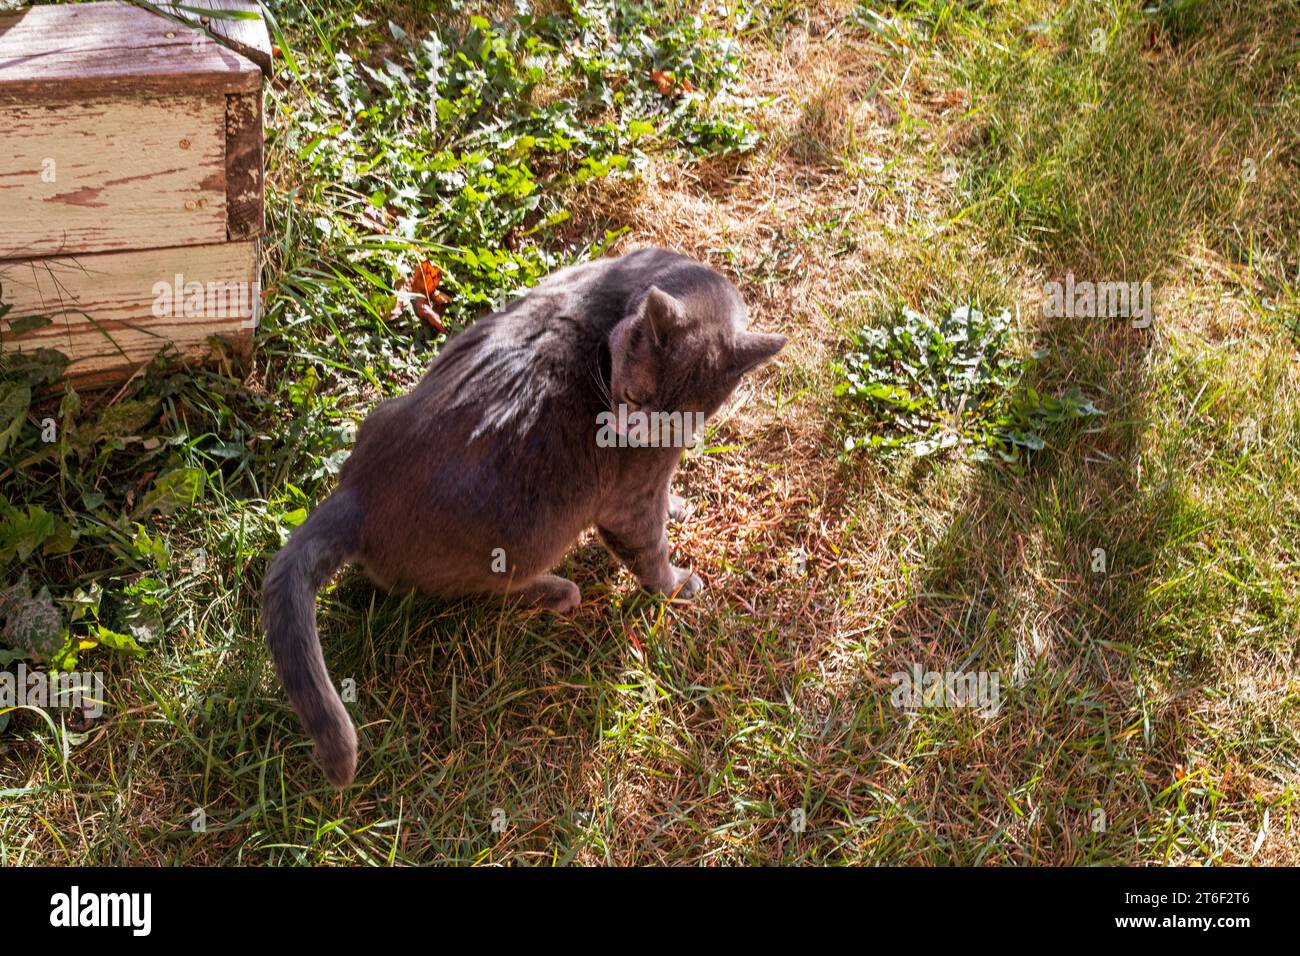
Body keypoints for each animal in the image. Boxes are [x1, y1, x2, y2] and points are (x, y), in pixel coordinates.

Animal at [258, 247, 774, 785]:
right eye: (634, 397)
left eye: (678, 418)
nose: (628, 432)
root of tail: (356, 492)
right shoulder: (631, 495)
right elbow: (649, 548)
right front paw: (678, 586)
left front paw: (677, 505)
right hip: (526, 539)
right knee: (479, 590)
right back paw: (558, 592)